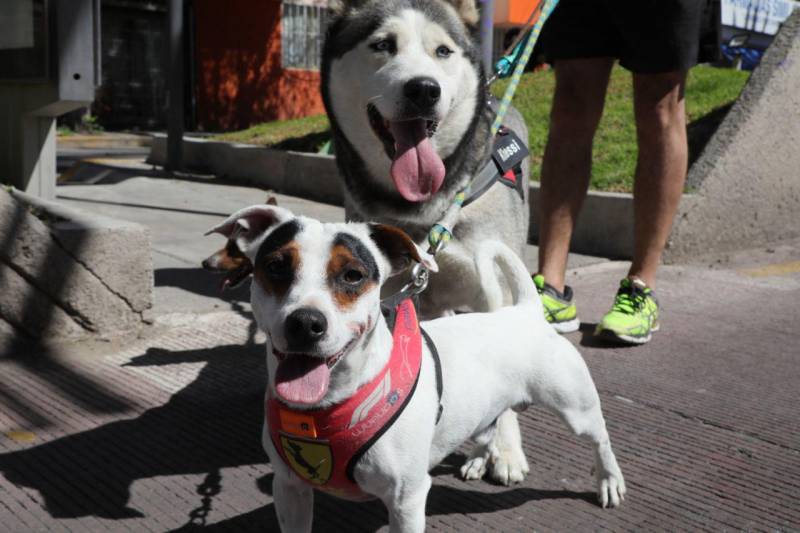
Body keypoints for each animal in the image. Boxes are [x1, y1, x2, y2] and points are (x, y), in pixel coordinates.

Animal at [206, 205, 624, 532]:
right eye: (276, 266)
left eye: (353, 275)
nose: (306, 323)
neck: (333, 404)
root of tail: (524, 311)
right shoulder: (289, 488)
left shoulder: (406, 499)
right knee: (489, 422)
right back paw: (478, 458)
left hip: (574, 405)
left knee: (600, 436)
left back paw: (610, 481)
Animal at [322, 0, 536, 482]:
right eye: (383, 44)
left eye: (442, 51)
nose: (423, 89)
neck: (419, 212)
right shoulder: (392, 292)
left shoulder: (493, 285)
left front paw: (505, 451)